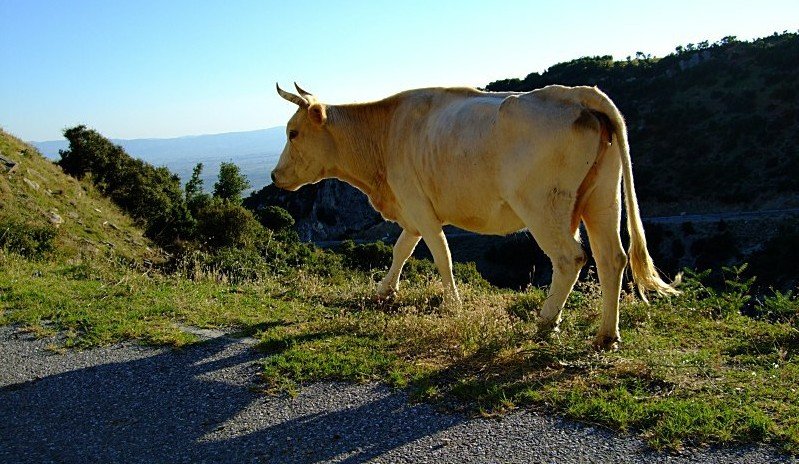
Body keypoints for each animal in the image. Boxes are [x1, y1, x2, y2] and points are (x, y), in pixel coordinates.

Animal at [272, 83, 678, 350]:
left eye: (293, 133)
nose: (275, 176)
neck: (383, 138)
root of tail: (576, 93)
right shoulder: (413, 211)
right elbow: (401, 250)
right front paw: (384, 292)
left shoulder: (418, 206)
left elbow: (441, 255)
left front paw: (453, 305)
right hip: (602, 198)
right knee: (612, 258)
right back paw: (606, 336)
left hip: (541, 206)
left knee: (570, 258)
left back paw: (546, 322)